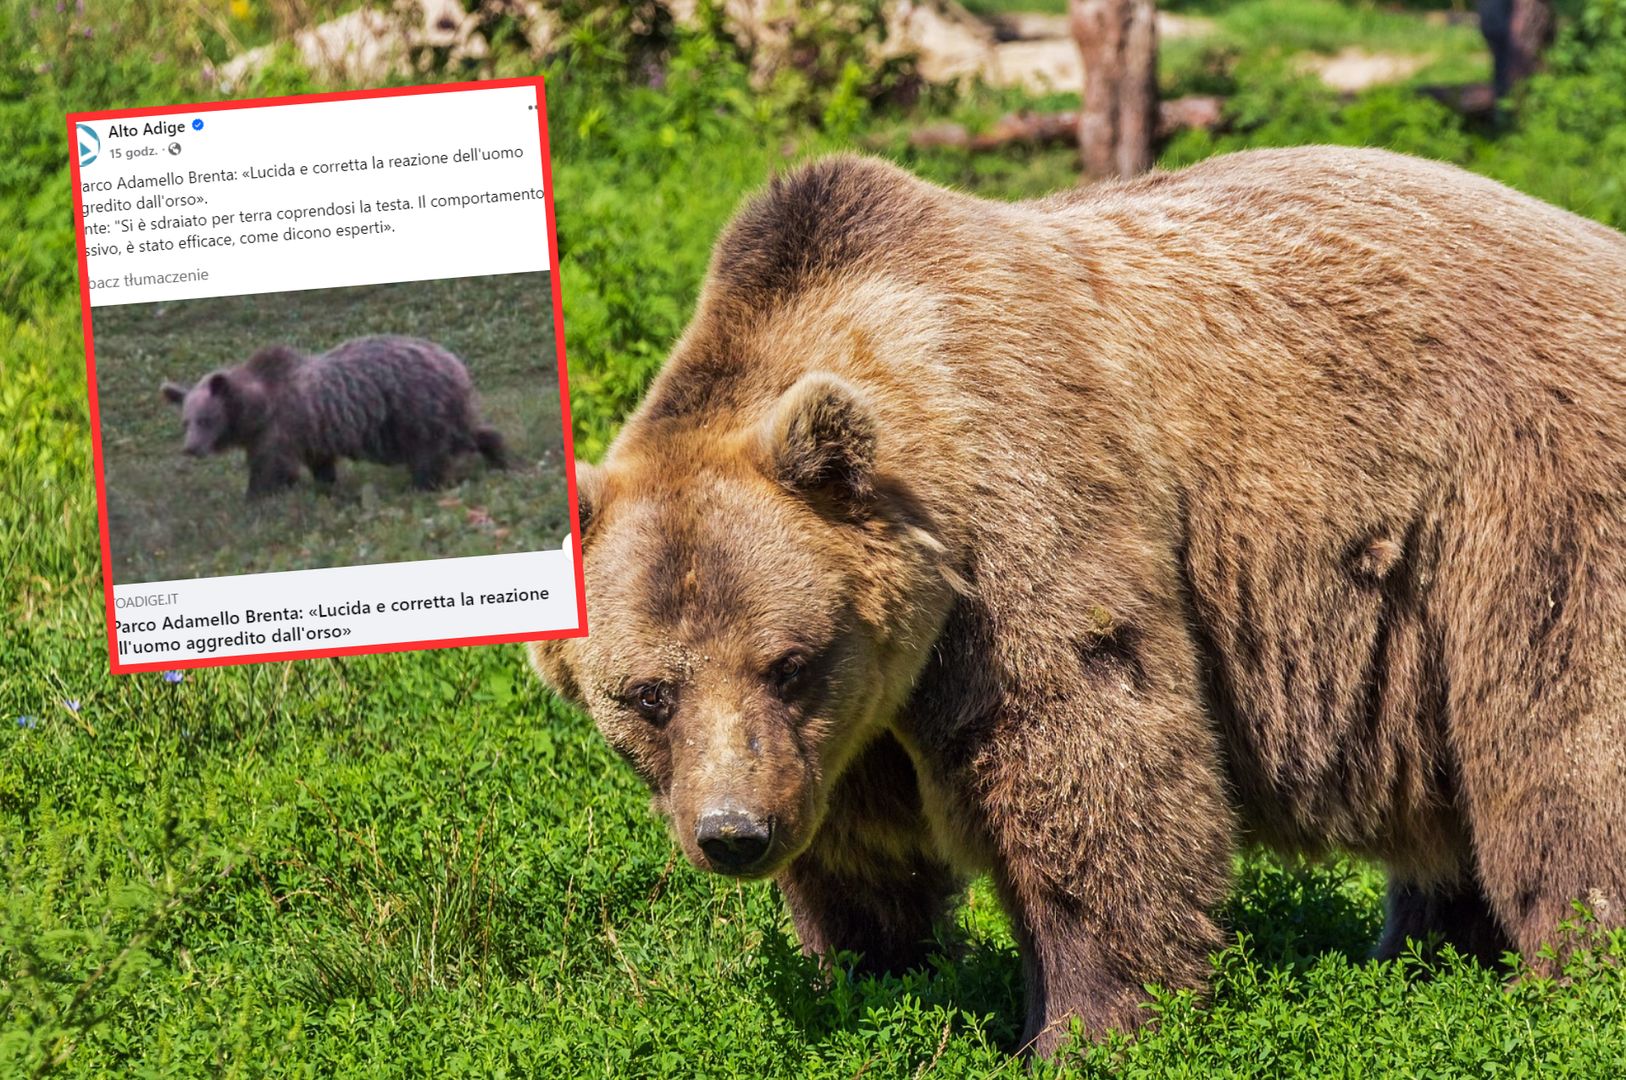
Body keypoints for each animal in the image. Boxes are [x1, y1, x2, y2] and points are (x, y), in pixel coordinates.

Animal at [159, 333, 504, 497]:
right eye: (185, 422)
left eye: (206, 419)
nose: (191, 448)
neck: (256, 411)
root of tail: (453, 361)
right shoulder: (310, 433)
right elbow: (320, 465)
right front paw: (326, 488)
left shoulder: (282, 426)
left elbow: (272, 469)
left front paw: (256, 499)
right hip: (438, 410)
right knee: (468, 433)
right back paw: (501, 457)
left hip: (413, 407)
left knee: (429, 453)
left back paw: (423, 485)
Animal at [526, 145, 1619, 1053]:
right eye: (647, 694)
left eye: (788, 662)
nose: (734, 833)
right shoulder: (854, 724)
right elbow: (862, 852)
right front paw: (869, 977)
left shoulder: (1026, 519)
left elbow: (1088, 764)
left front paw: (1082, 1026)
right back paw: (1428, 958)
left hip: (1524, 504)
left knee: (1558, 751)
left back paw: (1566, 980)